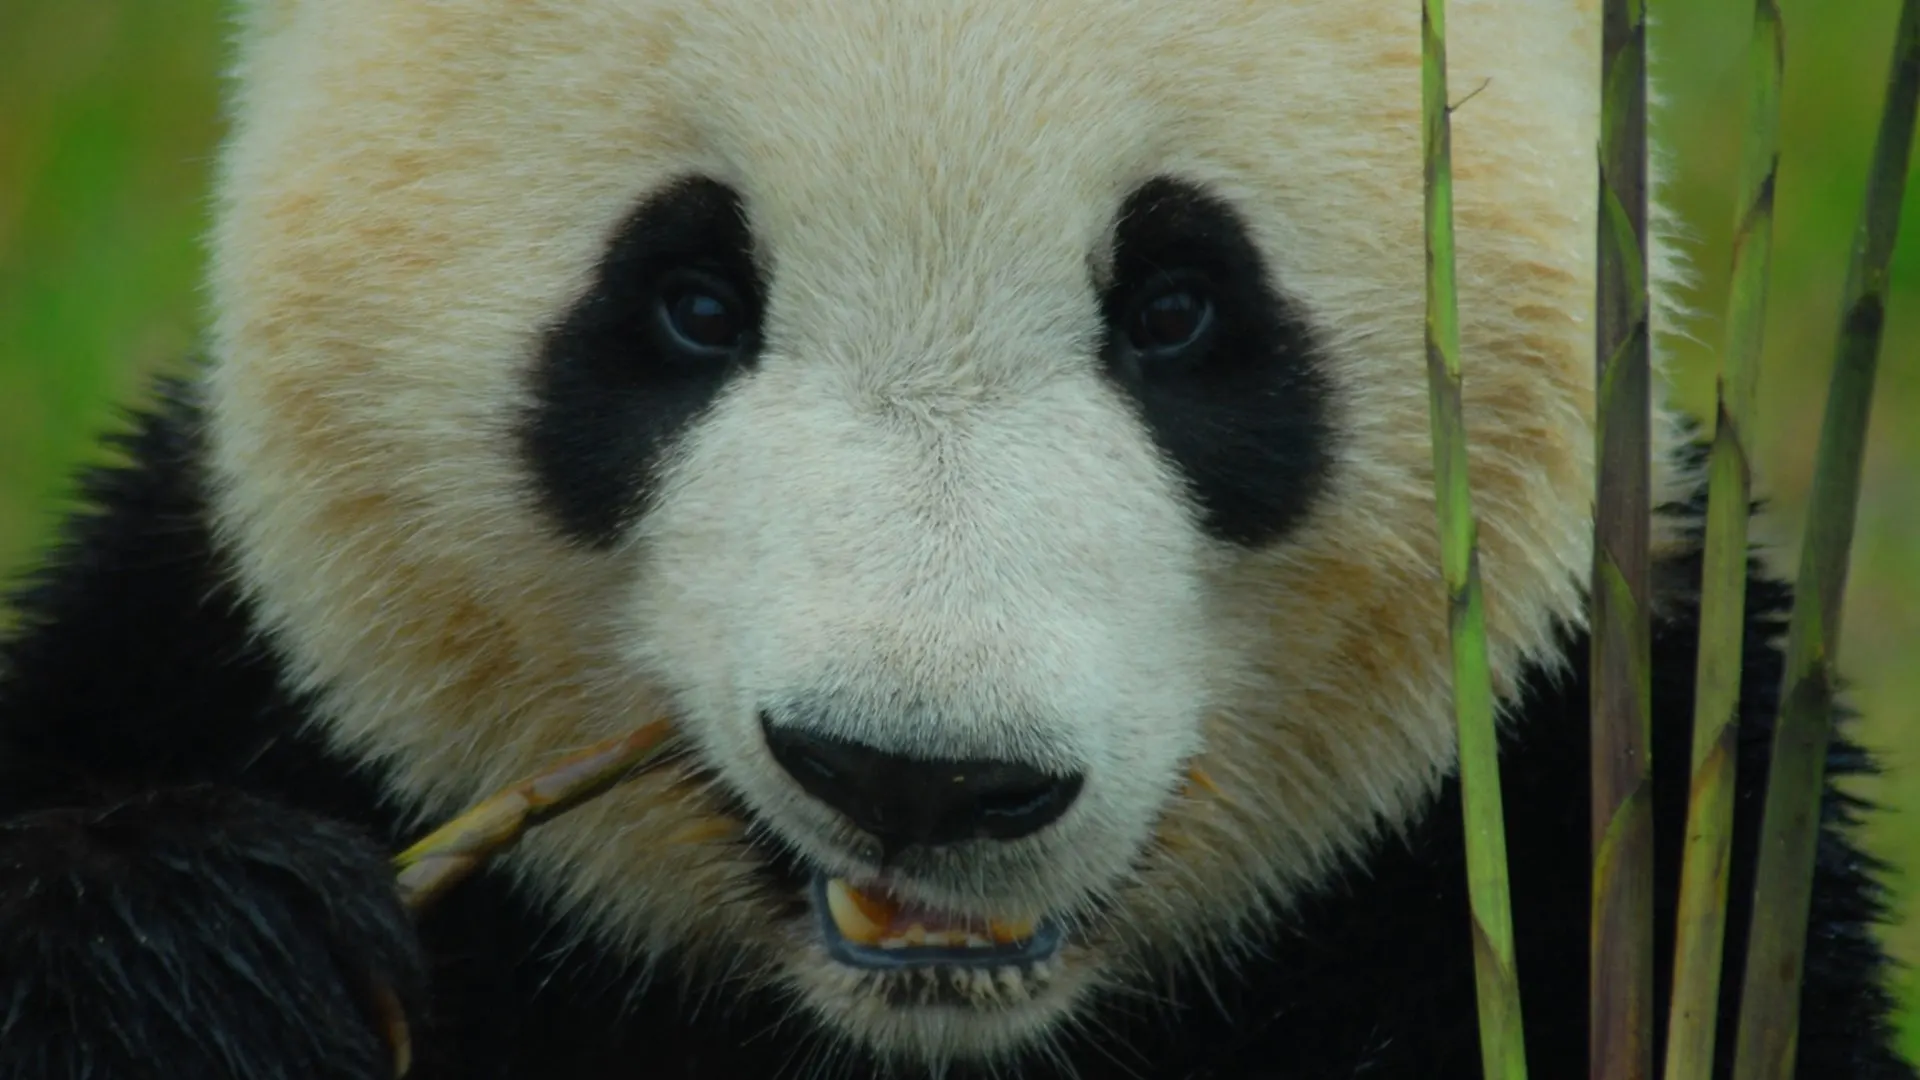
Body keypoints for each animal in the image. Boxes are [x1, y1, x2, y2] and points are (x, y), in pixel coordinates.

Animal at [0, 0, 1911, 1077]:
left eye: (1179, 308)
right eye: (689, 302)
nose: (916, 776)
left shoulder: (1618, 793)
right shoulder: (199, 655)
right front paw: (200, 955)